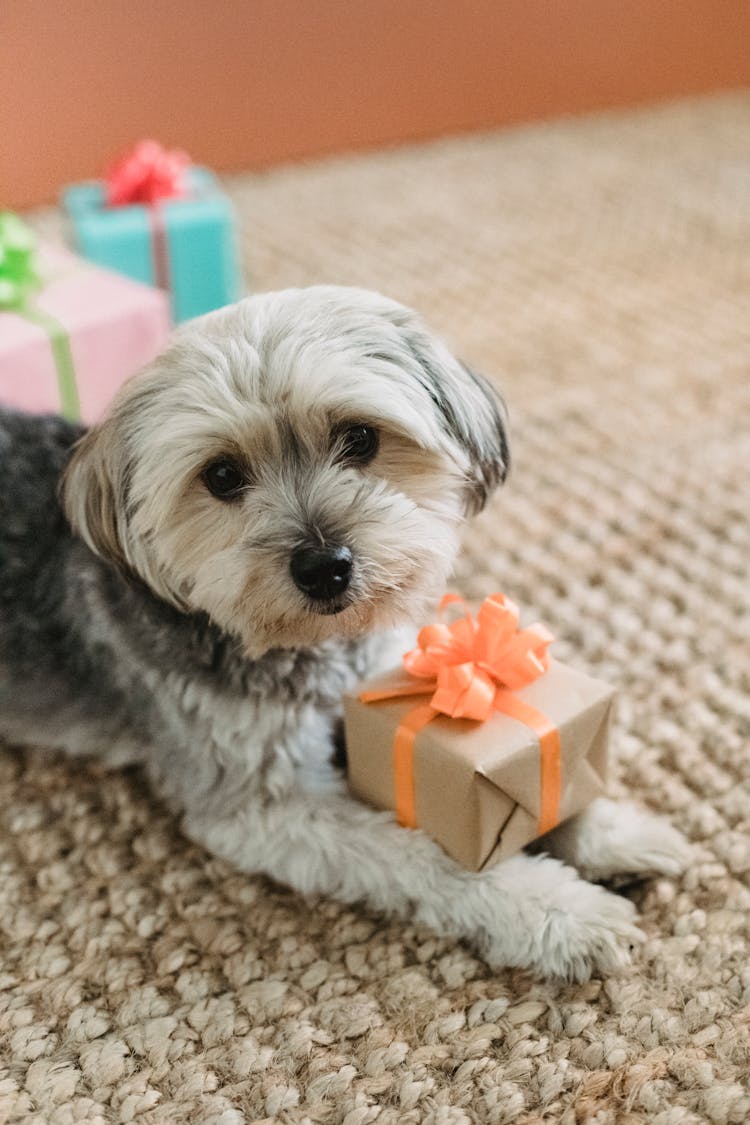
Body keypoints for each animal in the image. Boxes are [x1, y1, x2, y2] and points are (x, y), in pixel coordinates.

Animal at [0, 285, 692, 981]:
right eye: (221, 476)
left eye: (359, 438)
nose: (323, 566)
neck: (317, 649)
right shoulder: (262, 808)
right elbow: (425, 856)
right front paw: (556, 911)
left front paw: (612, 830)